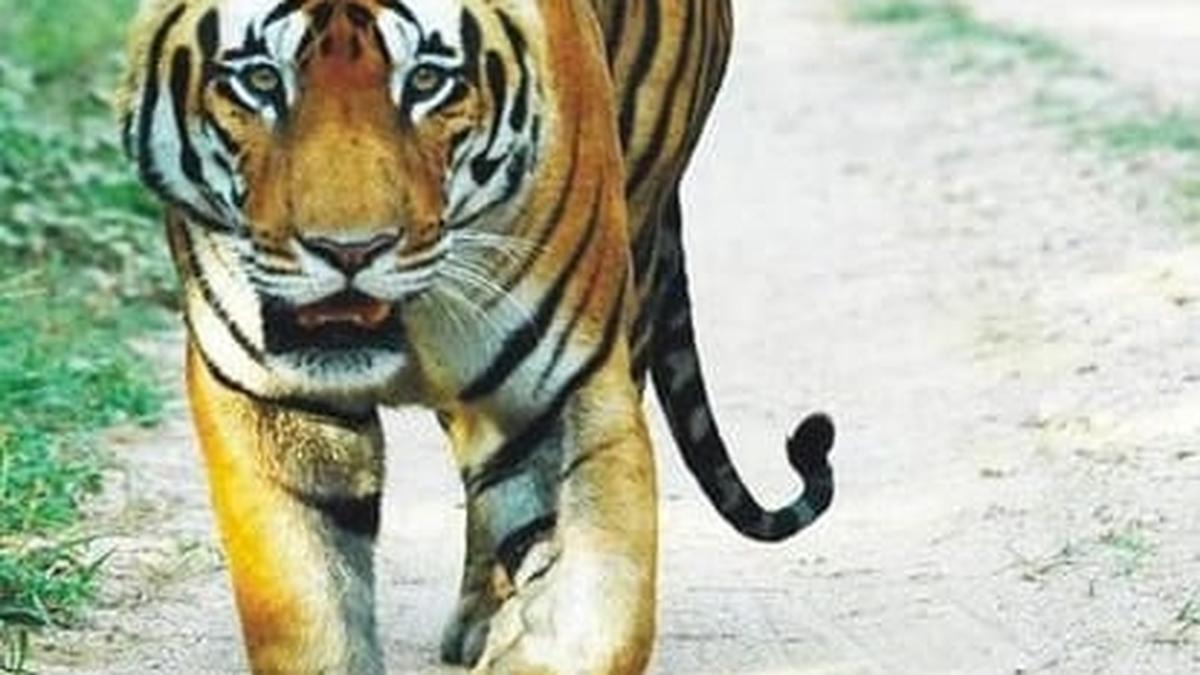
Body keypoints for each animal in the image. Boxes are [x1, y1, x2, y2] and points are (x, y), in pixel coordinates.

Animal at [118, 0, 835, 672]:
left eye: (427, 81)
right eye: (262, 80)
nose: (350, 251)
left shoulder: (568, 387)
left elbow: (595, 603)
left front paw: (531, 636)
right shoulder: (270, 395)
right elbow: (304, 599)